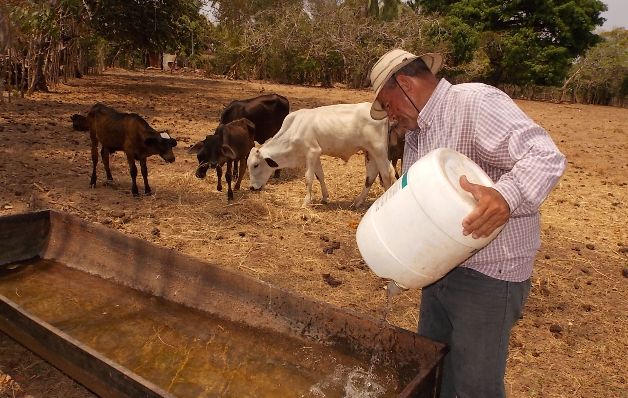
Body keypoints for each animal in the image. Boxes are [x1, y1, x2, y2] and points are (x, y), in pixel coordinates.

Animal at [248, 101, 394, 207]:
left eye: (256, 165)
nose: (252, 188)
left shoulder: (312, 152)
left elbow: (309, 177)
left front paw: (306, 201)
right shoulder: (316, 154)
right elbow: (320, 176)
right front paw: (324, 197)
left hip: (379, 151)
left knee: (387, 174)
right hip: (369, 152)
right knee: (371, 176)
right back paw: (357, 202)